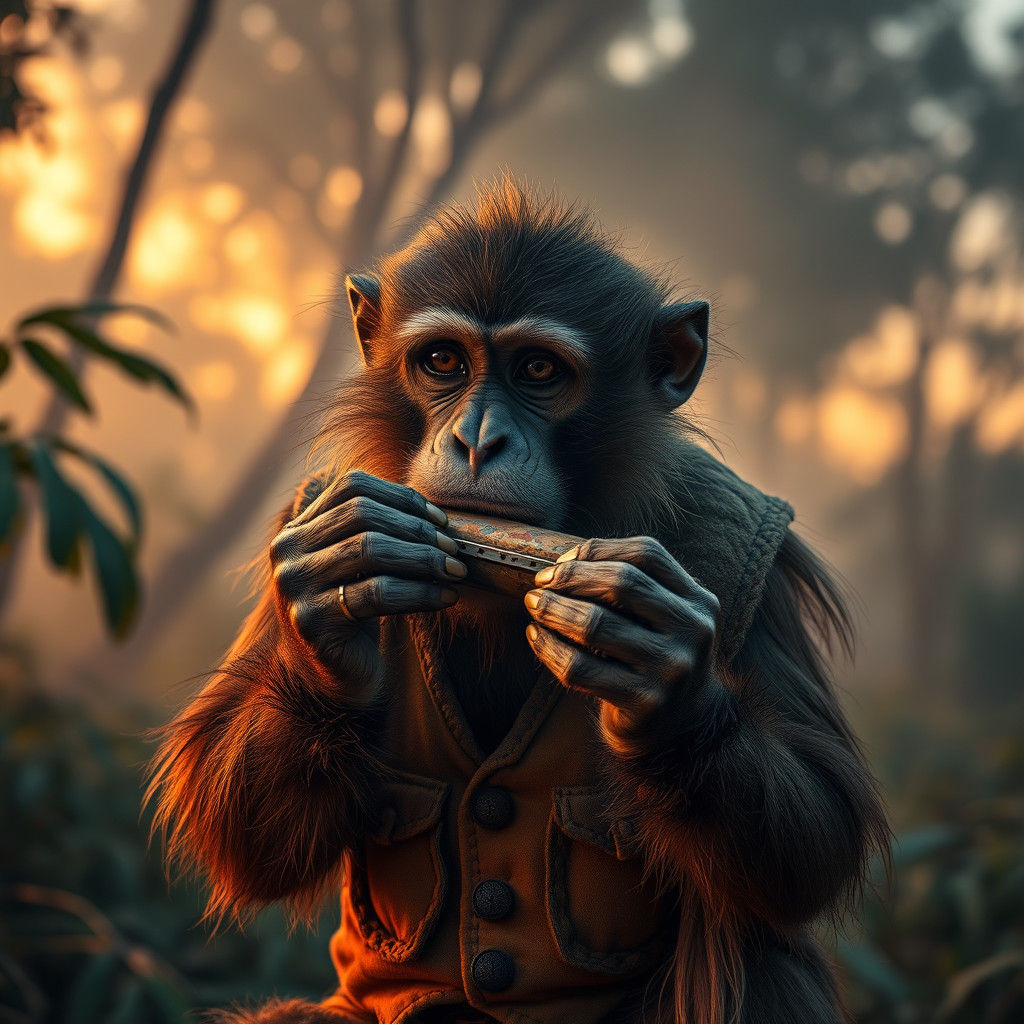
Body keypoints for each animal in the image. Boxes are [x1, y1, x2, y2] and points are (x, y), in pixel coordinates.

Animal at [148, 178, 889, 1024]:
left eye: (538, 370)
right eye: (442, 361)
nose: (477, 440)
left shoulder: (758, 567)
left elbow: (818, 831)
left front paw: (662, 684)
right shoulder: (305, 509)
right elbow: (233, 823)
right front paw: (332, 614)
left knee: (757, 954)